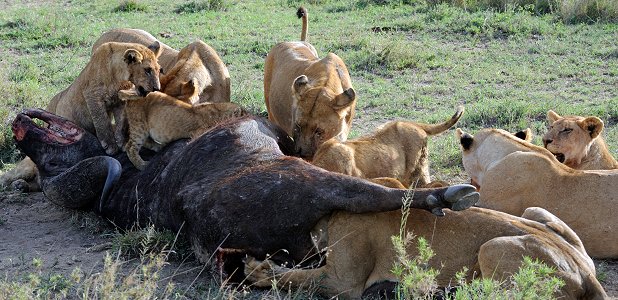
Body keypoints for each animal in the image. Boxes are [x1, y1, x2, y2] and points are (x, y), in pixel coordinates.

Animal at [244, 205, 600, 298]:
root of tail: (585, 272)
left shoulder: (342, 284)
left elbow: (296, 278)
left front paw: (258, 269)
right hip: (534, 212)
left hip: (492, 247)